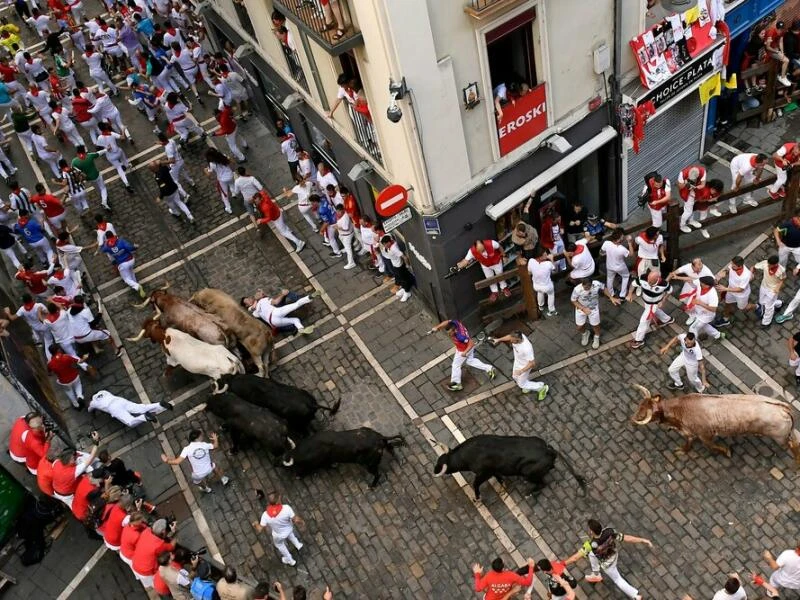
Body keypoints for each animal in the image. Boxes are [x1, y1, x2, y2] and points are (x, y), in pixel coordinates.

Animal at [434, 434, 584, 500]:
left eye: (441, 465)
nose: (434, 470)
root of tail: (550, 450)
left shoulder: (484, 473)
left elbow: (475, 484)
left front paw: (477, 497)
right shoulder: (493, 471)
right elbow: (499, 477)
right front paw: (503, 483)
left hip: (527, 472)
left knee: (543, 483)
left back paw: (529, 493)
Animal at [632, 384, 800, 464]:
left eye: (646, 413)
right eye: (640, 406)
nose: (633, 418)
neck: (680, 409)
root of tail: (784, 408)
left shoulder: (705, 435)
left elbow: (712, 447)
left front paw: (727, 451)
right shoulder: (690, 433)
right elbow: (688, 442)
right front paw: (683, 449)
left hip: (781, 438)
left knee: (793, 445)